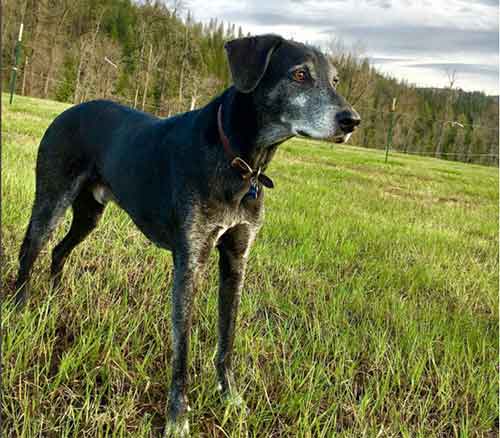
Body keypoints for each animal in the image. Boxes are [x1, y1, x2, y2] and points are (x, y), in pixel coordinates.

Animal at [14, 35, 360, 434]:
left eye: (335, 80)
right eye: (300, 74)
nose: (352, 121)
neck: (239, 162)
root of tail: (67, 112)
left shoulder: (236, 260)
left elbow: (227, 339)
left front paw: (231, 398)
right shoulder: (190, 262)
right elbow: (183, 350)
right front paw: (177, 419)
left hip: (90, 214)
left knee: (58, 252)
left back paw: (54, 303)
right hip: (52, 199)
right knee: (30, 250)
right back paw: (19, 308)